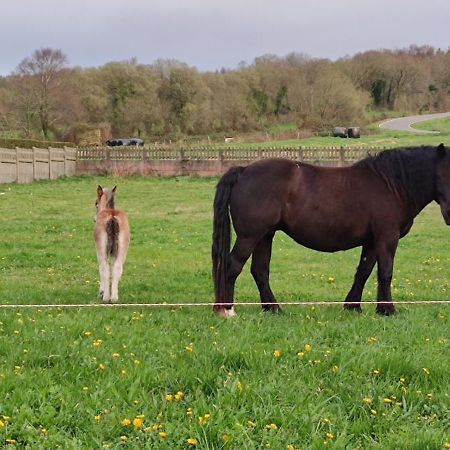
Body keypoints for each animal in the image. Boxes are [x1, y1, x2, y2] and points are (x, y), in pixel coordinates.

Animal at [213, 144, 450, 316]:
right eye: (445, 175)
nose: (449, 215)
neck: (391, 185)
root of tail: (243, 171)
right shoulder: (387, 238)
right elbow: (385, 272)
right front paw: (388, 310)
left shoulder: (372, 241)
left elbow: (363, 272)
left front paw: (354, 306)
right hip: (249, 237)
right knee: (232, 266)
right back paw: (228, 311)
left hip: (265, 236)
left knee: (260, 271)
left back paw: (274, 309)